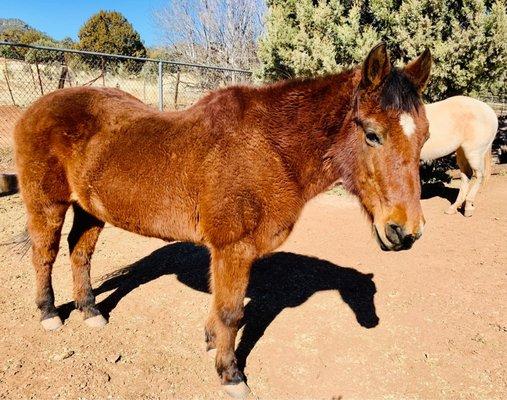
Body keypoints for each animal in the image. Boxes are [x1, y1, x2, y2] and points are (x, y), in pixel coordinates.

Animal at [13, 43, 430, 396]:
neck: (270, 149)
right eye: (372, 135)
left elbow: (222, 308)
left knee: (79, 253)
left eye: (424, 138)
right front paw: (230, 374)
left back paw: (90, 311)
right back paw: (49, 313)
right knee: (45, 254)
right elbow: (232, 312)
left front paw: (211, 341)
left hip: (90, 209)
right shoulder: (233, 248)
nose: (405, 231)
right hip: (47, 204)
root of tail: (34, 109)